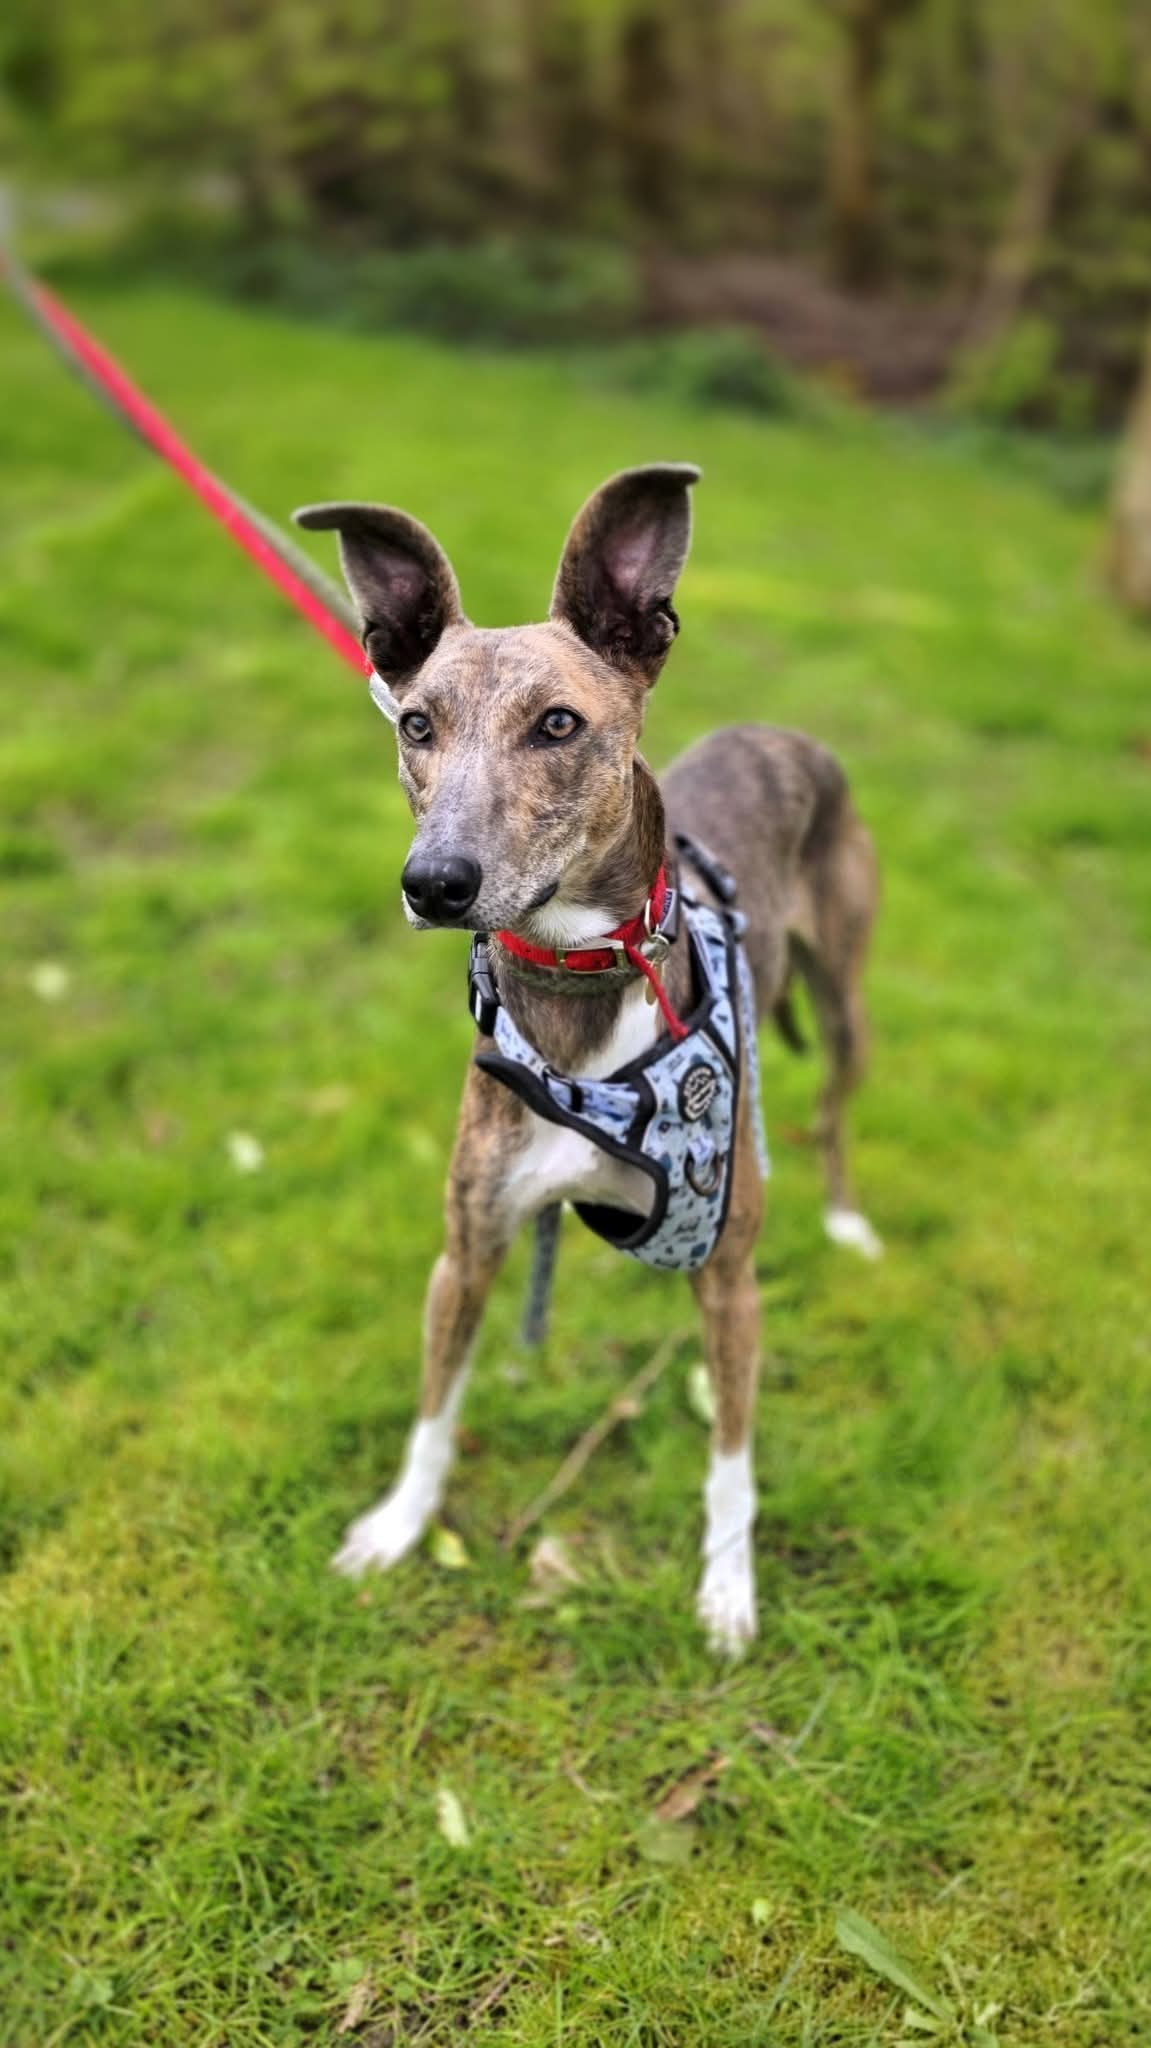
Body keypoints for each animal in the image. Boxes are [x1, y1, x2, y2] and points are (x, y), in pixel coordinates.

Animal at [295, 463, 880, 1654]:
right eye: (415, 722)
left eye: (558, 722)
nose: (434, 883)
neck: (580, 987)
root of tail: (775, 730)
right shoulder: (466, 1249)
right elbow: (435, 1408)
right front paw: (397, 1526)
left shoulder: (729, 1279)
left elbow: (731, 1463)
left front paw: (727, 1592)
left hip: (844, 1001)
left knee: (835, 1107)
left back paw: (845, 1216)